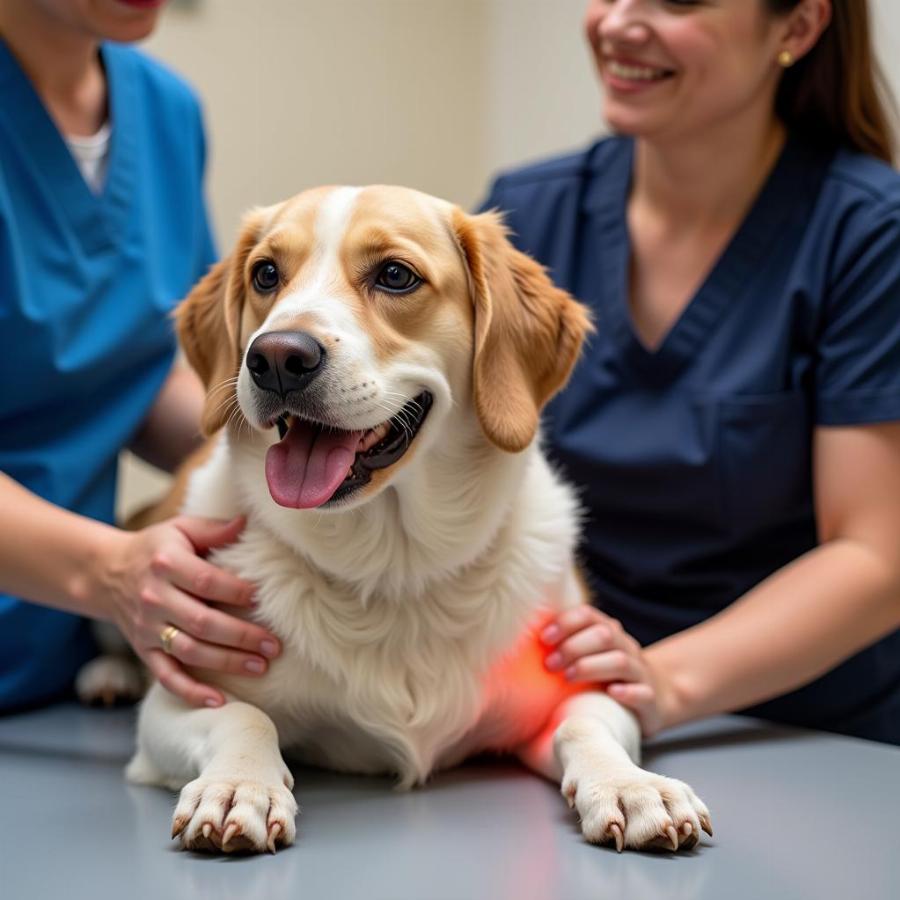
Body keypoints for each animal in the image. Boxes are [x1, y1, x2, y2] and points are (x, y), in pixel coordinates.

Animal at [126, 185, 712, 852]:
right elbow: (244, 716)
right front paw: (238, 786)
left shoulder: (581, 679)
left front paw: (633, 785)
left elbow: (585, 728)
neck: (396, 564)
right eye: (266, 275)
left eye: (395, 275)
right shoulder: (172, 704)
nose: (274, 356)